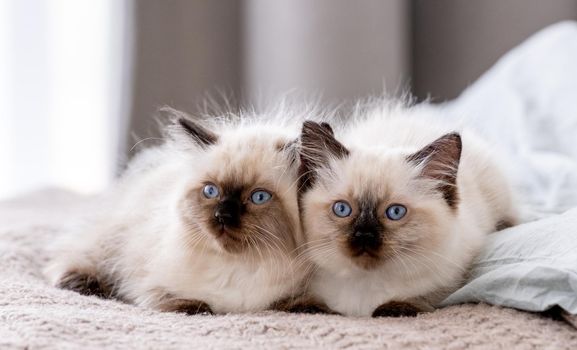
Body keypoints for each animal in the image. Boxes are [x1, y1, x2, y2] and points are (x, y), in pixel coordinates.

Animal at [46, 109, 306, 314]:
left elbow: (291, 303)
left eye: (259, 197)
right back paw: (83, 285)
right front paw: (200, 310)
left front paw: (302, 307)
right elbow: (190, 305)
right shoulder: (151, 286)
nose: (222, 216)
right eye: (211, 191)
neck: (243, 266)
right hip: (110, 242)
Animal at [300, 106, 516, 318]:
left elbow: (421, 298)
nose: (364, 235)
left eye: (395, 212)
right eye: (342, 209)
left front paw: (393, 309)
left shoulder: (450, 277)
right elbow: (316, 304)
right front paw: (310, 308)